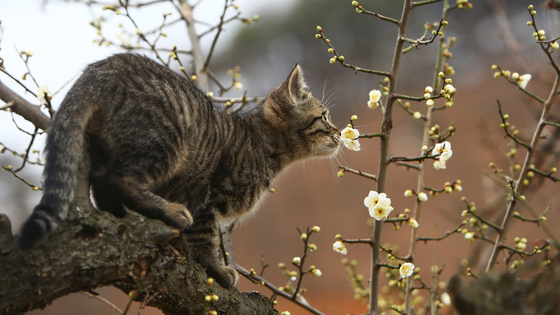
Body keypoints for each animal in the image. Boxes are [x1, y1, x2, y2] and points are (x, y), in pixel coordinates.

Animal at [18, 54, 342, 288]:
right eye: (325, 117)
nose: (340, 133)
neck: (264, 148)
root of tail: (101, 69)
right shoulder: (207, 195)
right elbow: (203, 237)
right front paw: (216, 269)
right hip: (165, 142)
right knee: (118, 178)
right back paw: (168, 213)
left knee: (101, 180)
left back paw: (122, 214)